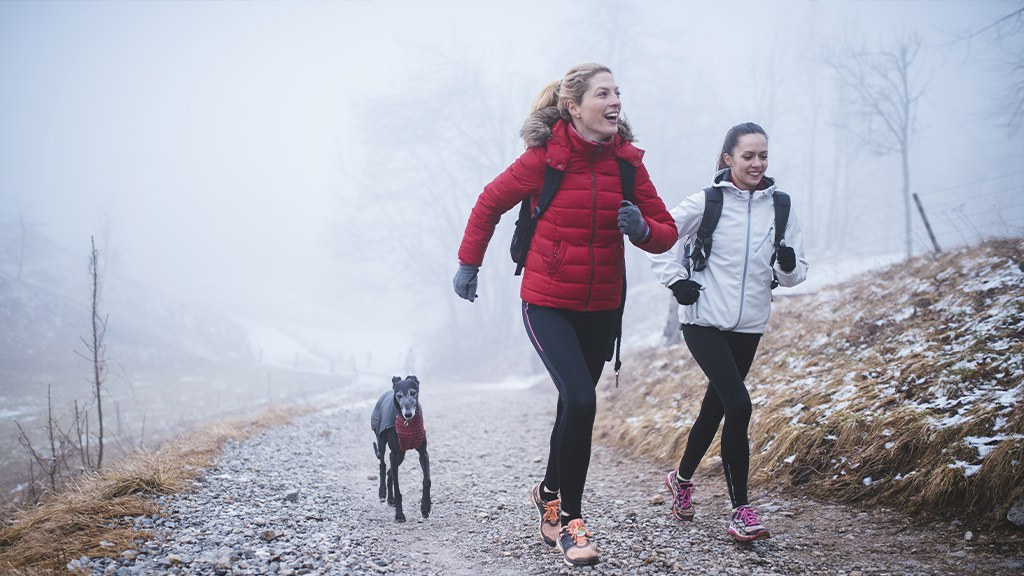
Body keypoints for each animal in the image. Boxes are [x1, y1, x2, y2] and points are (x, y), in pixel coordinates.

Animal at [370, 373, 430, 520]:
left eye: (413, 392)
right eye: (398, 396)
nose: (408, 414)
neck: (408, 424)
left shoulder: (423, 453)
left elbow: (427, 481)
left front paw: (425, 507)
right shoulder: (394, 453)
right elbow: (398, 488)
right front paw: (399, 514)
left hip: (401, 455)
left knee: (390, 472)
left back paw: (390, 499)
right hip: (382, 443)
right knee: (383, 465)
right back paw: (382, 493)